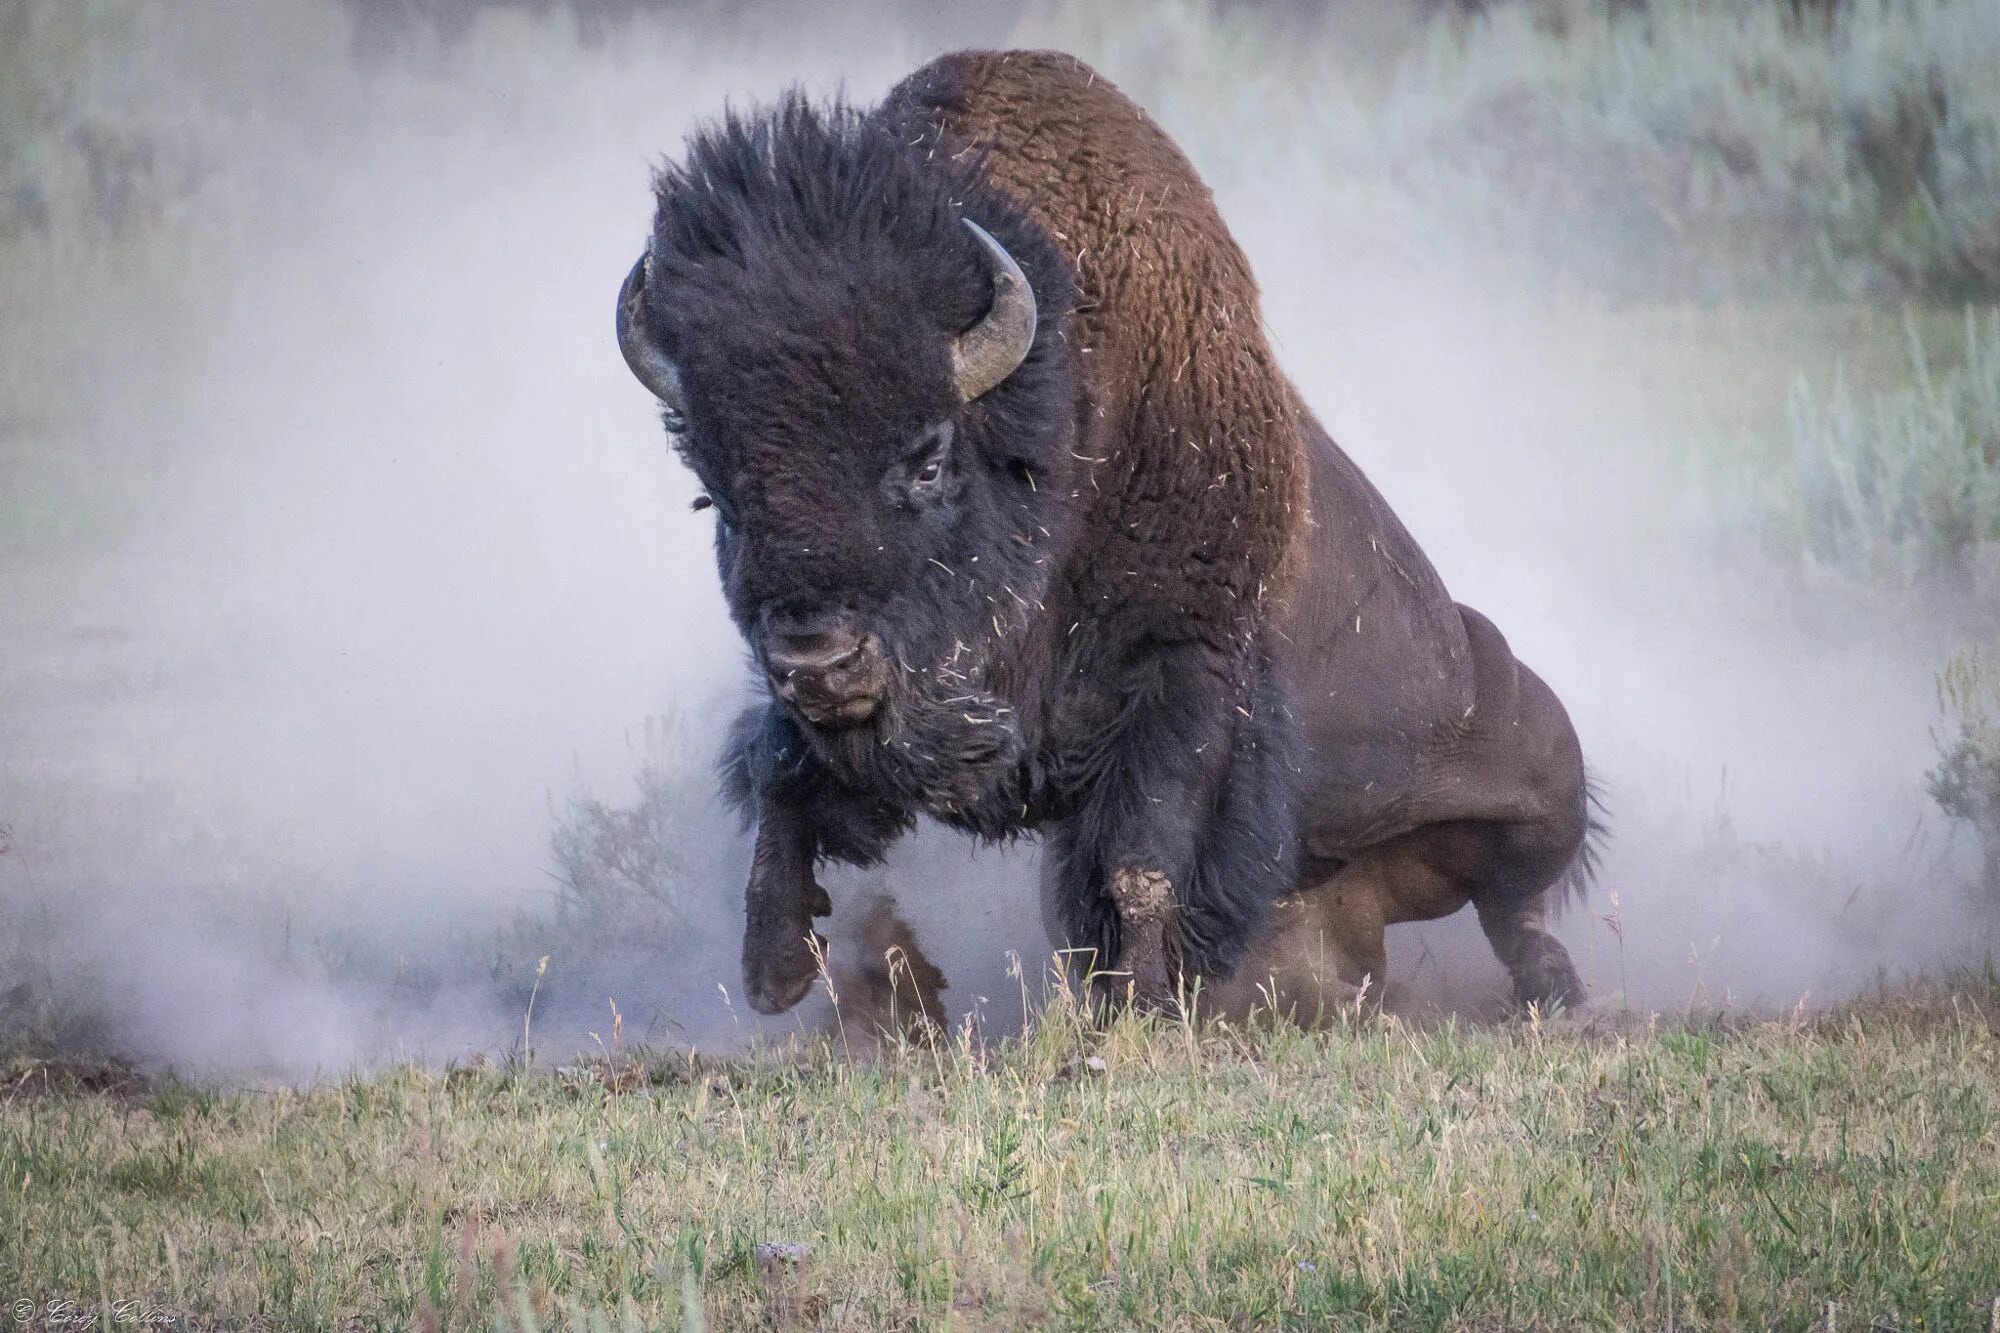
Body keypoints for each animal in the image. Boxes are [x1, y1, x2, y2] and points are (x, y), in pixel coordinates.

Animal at [616, 46, 1600, 1012]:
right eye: (719, 496)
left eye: (928, 458)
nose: (819, 663)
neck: (1065, 421)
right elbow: (778, 770)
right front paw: (775, 967)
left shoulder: (1183, 679)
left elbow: (1143, 858)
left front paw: (1145, 1004)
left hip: (1543, 779)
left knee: (1515, 896)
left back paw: (1552, 987)